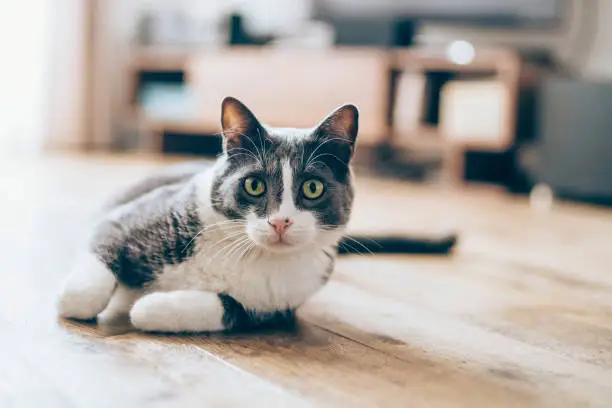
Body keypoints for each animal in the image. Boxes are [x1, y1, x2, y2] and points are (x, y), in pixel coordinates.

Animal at [56, 97, 454, 334]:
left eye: (313, 188)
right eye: (254, 185)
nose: (281, 221)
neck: (248, 252)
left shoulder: (280, 304)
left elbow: (230, 309)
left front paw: (151, 307)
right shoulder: (125, 220)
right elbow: (86, 285)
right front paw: (74, 300)